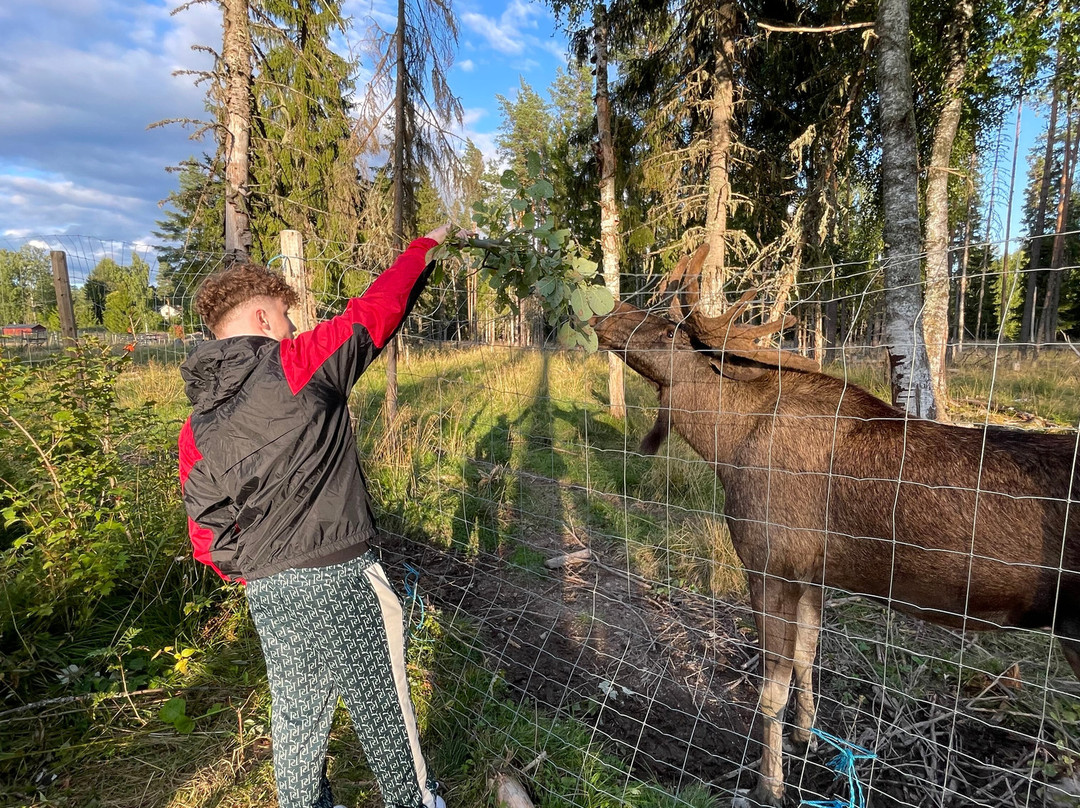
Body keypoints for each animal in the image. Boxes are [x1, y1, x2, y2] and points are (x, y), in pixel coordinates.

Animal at [592, 244, 1080, 807]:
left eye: (671, 330)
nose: (606, 312)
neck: (725, 447)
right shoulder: (812, 572)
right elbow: (807, 658)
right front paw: (805, 738)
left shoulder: (769, 563)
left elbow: (770, 690)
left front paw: (770, 784)